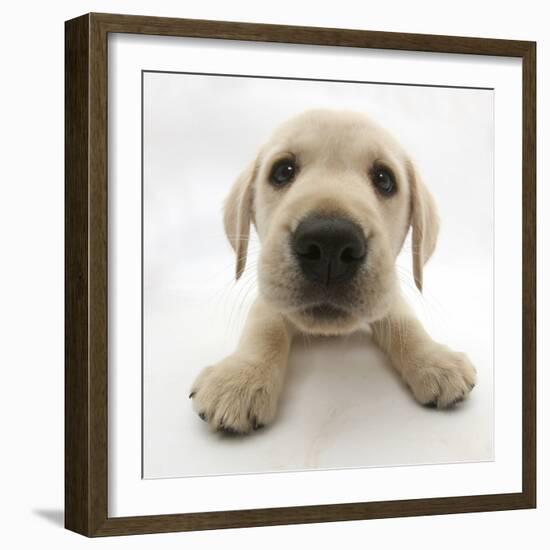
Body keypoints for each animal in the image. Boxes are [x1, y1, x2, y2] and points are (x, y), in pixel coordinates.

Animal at [190, 109, 478, 436]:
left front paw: (435, 360)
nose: (330, 243)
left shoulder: (387, 290)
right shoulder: (268, 293)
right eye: (282, 171)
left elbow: (405, 322)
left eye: (384, 179)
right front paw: (240, 378)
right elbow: (264, 327)